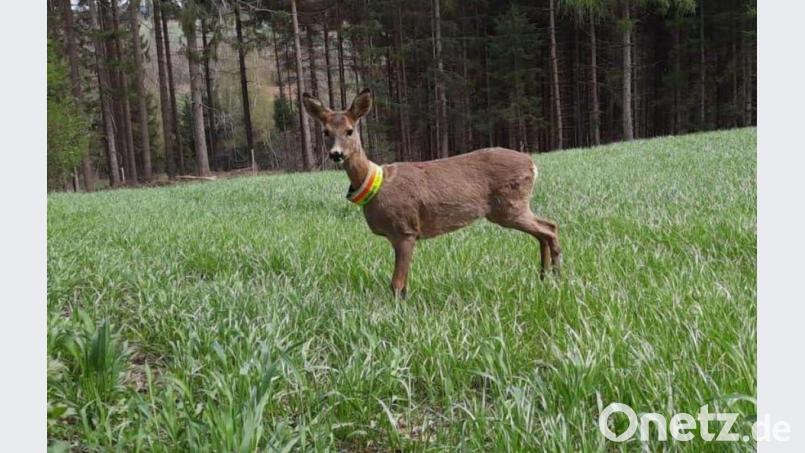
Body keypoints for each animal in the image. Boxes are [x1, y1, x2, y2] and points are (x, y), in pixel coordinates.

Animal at [303, 88, 561, 298]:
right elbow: (403, 285)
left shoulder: (405, 229)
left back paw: (556, 278)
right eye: (325, 131)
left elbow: (396, 284)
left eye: (349, 130)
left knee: (549, 228)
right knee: (545, 229)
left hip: (510, 205)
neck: (376, 184)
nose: (336, 154)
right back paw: (544, 277)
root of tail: (532, 164)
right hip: (511, 208)